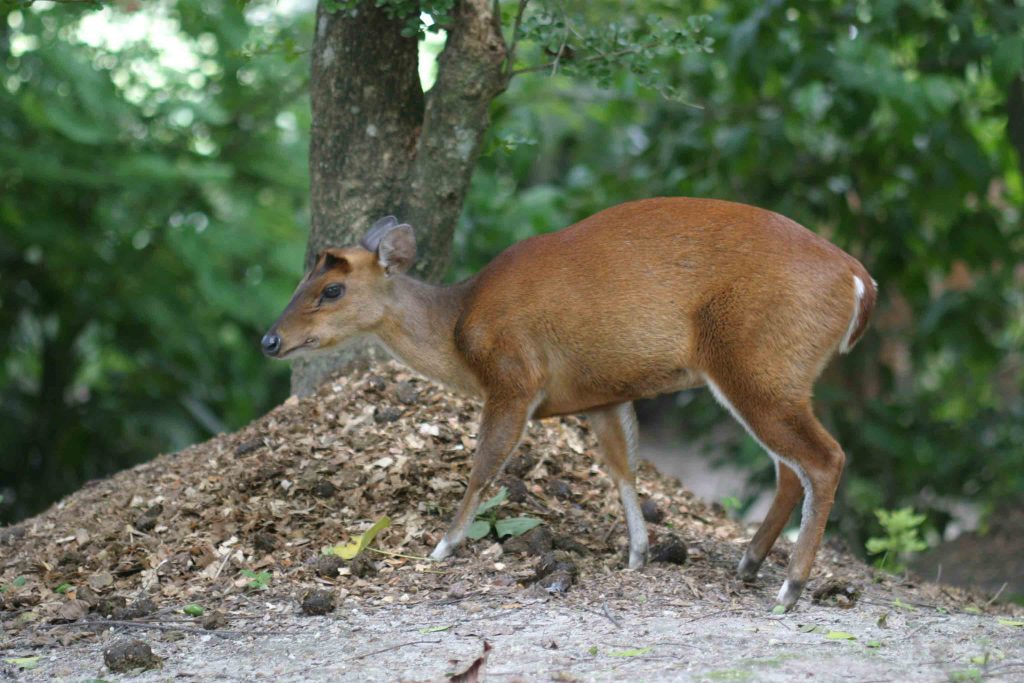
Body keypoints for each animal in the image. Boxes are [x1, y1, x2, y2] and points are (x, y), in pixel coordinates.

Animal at [262, 197, 872, 610]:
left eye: (332, 290)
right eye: (300, 280)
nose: (270, 339)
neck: (458, 329)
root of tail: (859, 280)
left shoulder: (514, 376)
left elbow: (484, 466)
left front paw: (442, 546)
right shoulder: (604, 395)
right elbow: (622, 469)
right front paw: (638, 554)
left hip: (758, 361)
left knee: (826, 458)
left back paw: (790, 588)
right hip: (776, 373)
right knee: (791, 468)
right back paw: (748, 564)